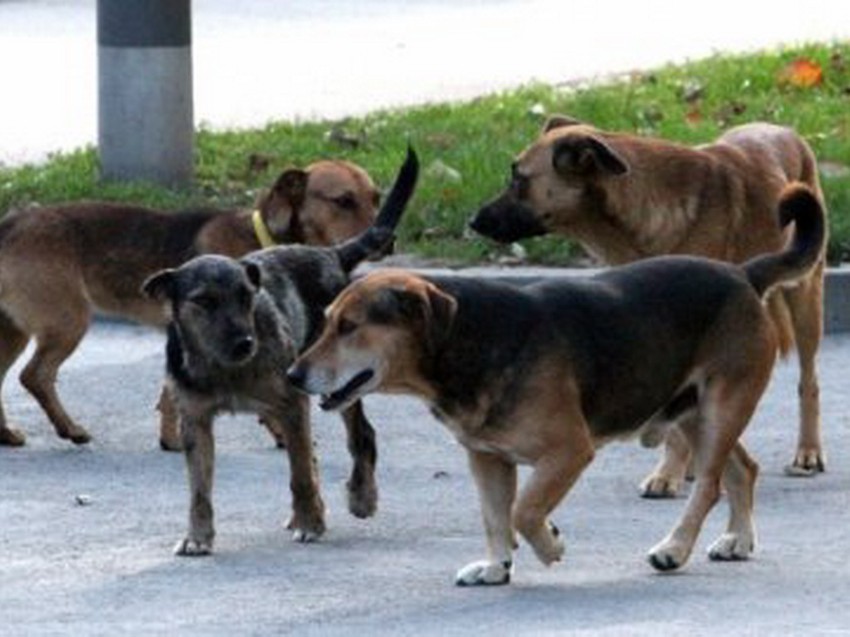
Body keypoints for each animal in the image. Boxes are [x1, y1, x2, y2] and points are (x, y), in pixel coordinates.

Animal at [0, 158, 380, 449]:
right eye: (343, 201)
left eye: (376, 199)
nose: (386, 240)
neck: (265, 237)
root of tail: (11, 223)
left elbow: (169, 395)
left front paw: (170, 439)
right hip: (69, 321)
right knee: (35, 376)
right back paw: (70, 429)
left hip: (15, 332)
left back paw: (7, 433)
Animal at [141, 147, 418, 554]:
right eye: (204, 301)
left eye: (247, 296)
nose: (245, 343)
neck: (224, 367)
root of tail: (330, 254)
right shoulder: (195, 420)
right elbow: (199, 489)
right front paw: (198, 536)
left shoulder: (291, 404)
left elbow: (300, 472)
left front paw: (310, 523)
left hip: (335, 377)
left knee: (360, 437)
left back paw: (360, 497)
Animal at [288, 184, 824, 585]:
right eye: (327, 320)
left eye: (350, 327)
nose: (292, 376)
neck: (468, 339)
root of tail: (742, 274)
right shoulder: (487, 458)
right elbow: (495, 515)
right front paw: (497, 566)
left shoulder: (569, 451)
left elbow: (524, 511)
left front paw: (550, 544)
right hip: (691, 411)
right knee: (743, 470)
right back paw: (738, 540)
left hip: (721, 406)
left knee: (710, 484)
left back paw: (673, 548)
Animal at [470, 116, 827, 495]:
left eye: (518, 179)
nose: (473, 221)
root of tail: (780, 128)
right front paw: (677, 467)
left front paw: (668, 473)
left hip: (806, 301)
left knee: (808, 381)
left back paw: (807, 451)